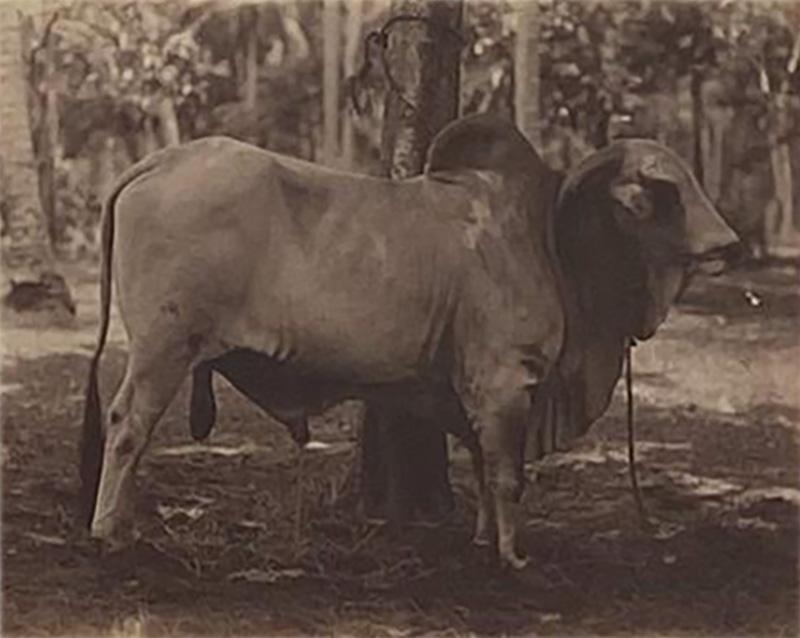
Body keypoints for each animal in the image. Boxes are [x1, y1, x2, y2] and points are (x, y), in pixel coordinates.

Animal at [79, 115, 739, 569]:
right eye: (665, 193)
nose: (729, 244)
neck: (550, 239)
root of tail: (162, 161)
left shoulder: (472, 391)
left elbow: (483, 465)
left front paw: (482, 538)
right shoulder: (505, 380)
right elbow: (507, 474)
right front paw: (511, 556)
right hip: (164, 347)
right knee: (127, 424)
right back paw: (110, 531)